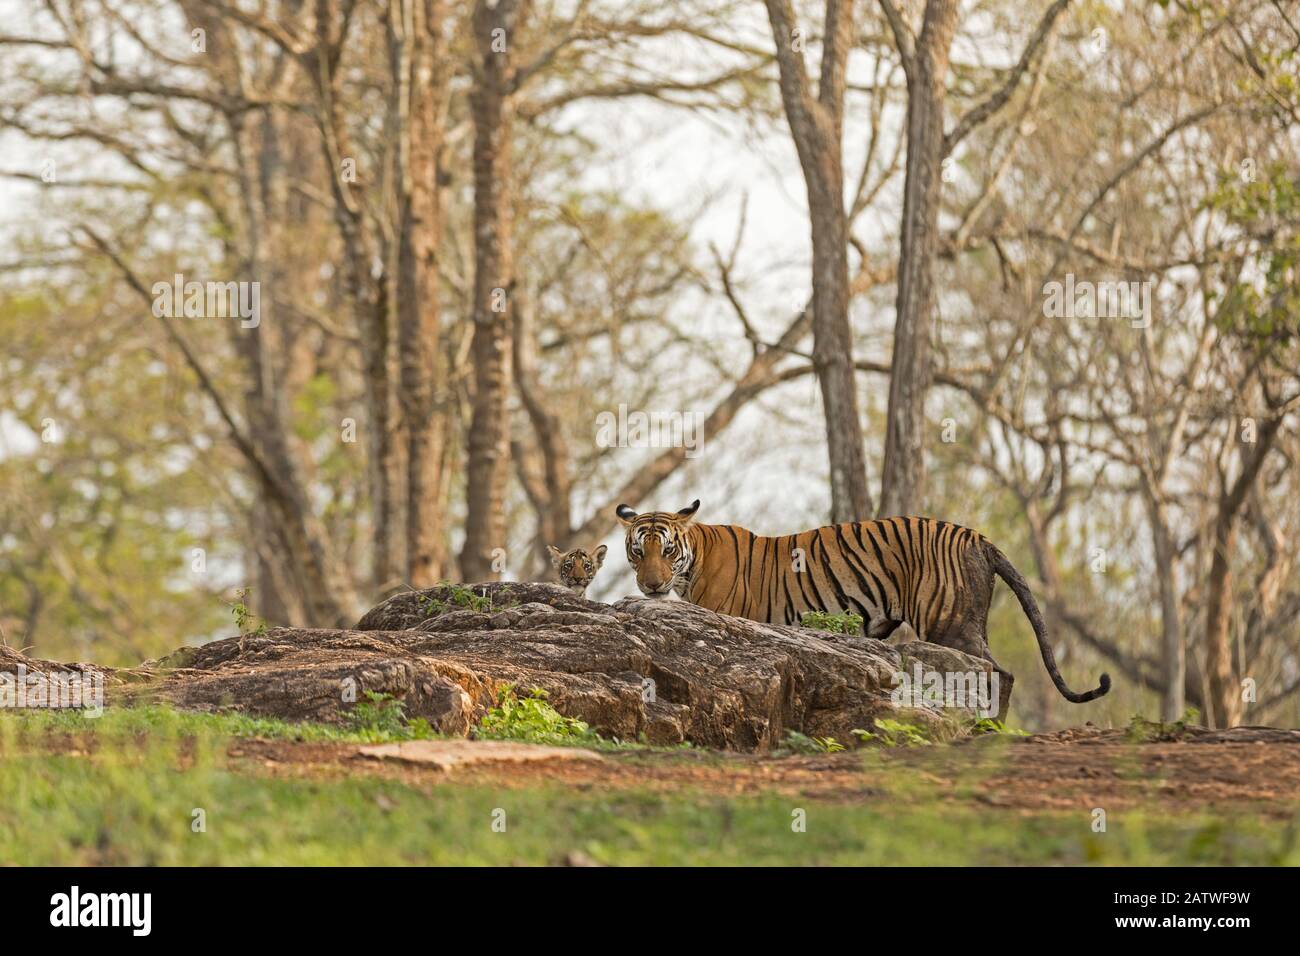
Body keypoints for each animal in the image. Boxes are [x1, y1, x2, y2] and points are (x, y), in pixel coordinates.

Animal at [616, 502, 1107, 717]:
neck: (692, 559)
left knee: (997, 673)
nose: (651, 585)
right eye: (639, 551)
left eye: (666, 549)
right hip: (967, 620)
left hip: (948, 624)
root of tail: (977, 536)